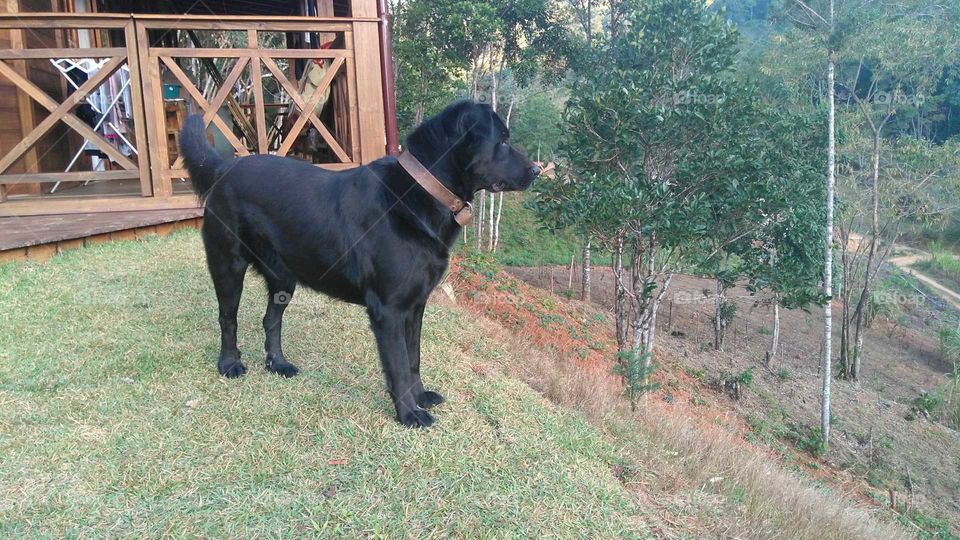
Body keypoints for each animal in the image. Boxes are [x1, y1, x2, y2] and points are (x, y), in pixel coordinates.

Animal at [180, 101, 540, 428]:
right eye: (503, 141)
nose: (537, 170)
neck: (420, 190)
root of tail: (223, 168)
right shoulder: (388, 310)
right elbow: (398, 364)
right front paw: (409, 414)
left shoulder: (415, 306)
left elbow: (414, 358)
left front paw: (420, 397)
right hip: (228, 265)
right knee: (228, 319)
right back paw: (229, 364)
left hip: (283, 277)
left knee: (271, 320)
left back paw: (278, 364)